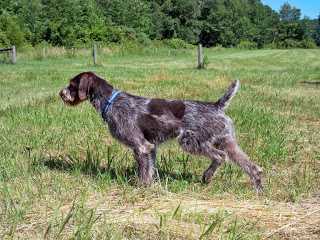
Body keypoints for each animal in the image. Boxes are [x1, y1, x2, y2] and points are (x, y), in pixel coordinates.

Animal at [59, 71, 262, 191]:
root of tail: (217, 106)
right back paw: (258, 190)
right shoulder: (151, 147)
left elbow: (144, 172)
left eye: (71, 85)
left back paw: (207, 176)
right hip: (227, 142)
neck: (111, 101)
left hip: (190, 141)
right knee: (254, 167)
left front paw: (141, 188)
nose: (60, 93)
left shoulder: (141, 146)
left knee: (220, 156)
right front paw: (150, 186)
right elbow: (150, 170)